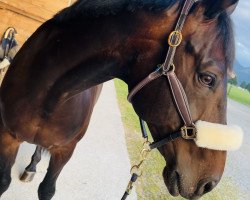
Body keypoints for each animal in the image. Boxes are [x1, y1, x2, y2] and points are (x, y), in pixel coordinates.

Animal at [0, 0, 239, 199]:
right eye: (208, 78)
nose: (208, 183)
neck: (49, 95)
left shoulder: (65, 151)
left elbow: (47, 189)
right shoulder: (7, 138)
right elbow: (5, 181)